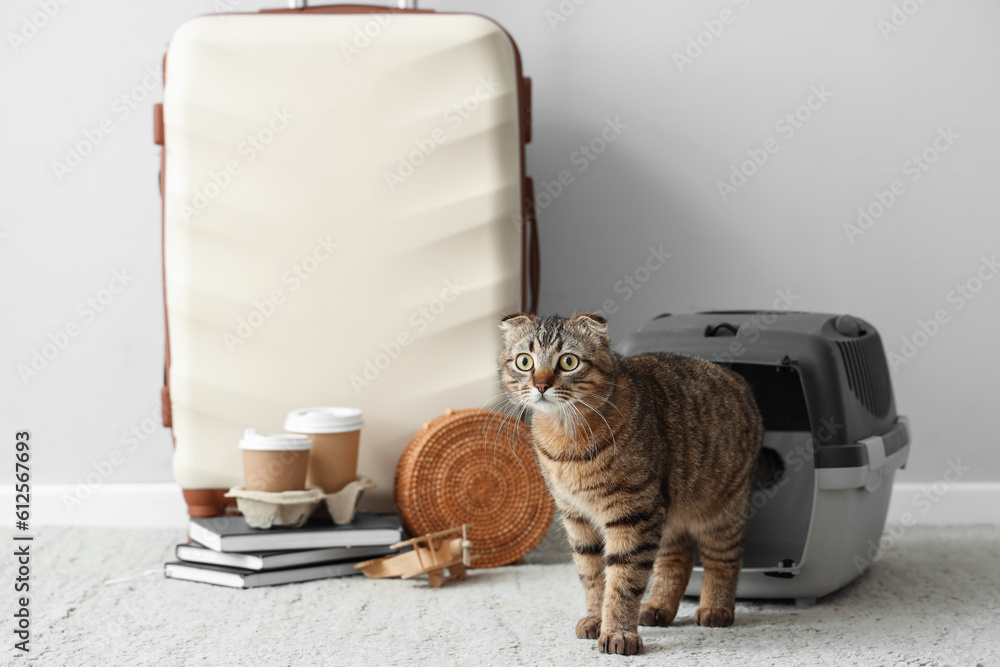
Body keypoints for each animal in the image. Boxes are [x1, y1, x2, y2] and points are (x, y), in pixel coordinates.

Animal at [496, 314, 760, 656]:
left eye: (568, 361)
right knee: (679, 556)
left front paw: (618, 632)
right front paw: (596, 619)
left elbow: (622, 581)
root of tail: (739, 381)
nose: (541, 385)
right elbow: (593, 576)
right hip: (668, 512)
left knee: (725, 558)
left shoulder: (632, 514)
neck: (567, 441)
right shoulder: (577, 518)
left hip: (721, 510)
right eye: (524, 361)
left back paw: (716, 607)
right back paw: (658, 605)